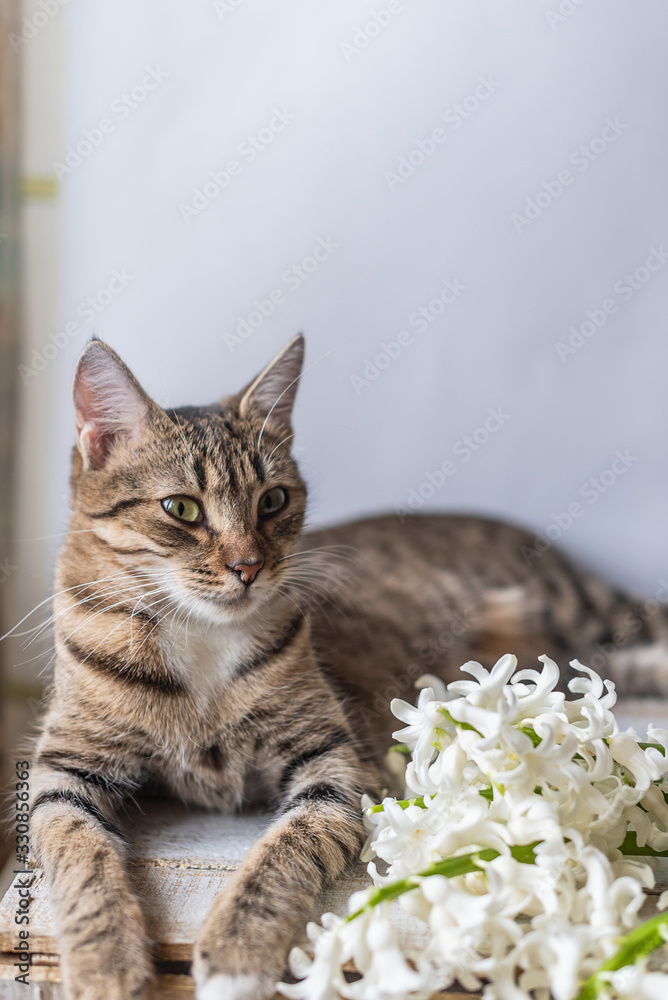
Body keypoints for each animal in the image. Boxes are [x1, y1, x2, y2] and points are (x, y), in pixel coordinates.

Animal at [30, 338, 668, 1000]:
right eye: (180, 508)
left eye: (273, 500)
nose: (248, 567)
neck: (201, 637)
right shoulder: (63, 771)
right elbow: (79, 856)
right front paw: (105, 964)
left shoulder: (336, 761)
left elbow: (282, 854)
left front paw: (235, 954)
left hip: (581, 610)